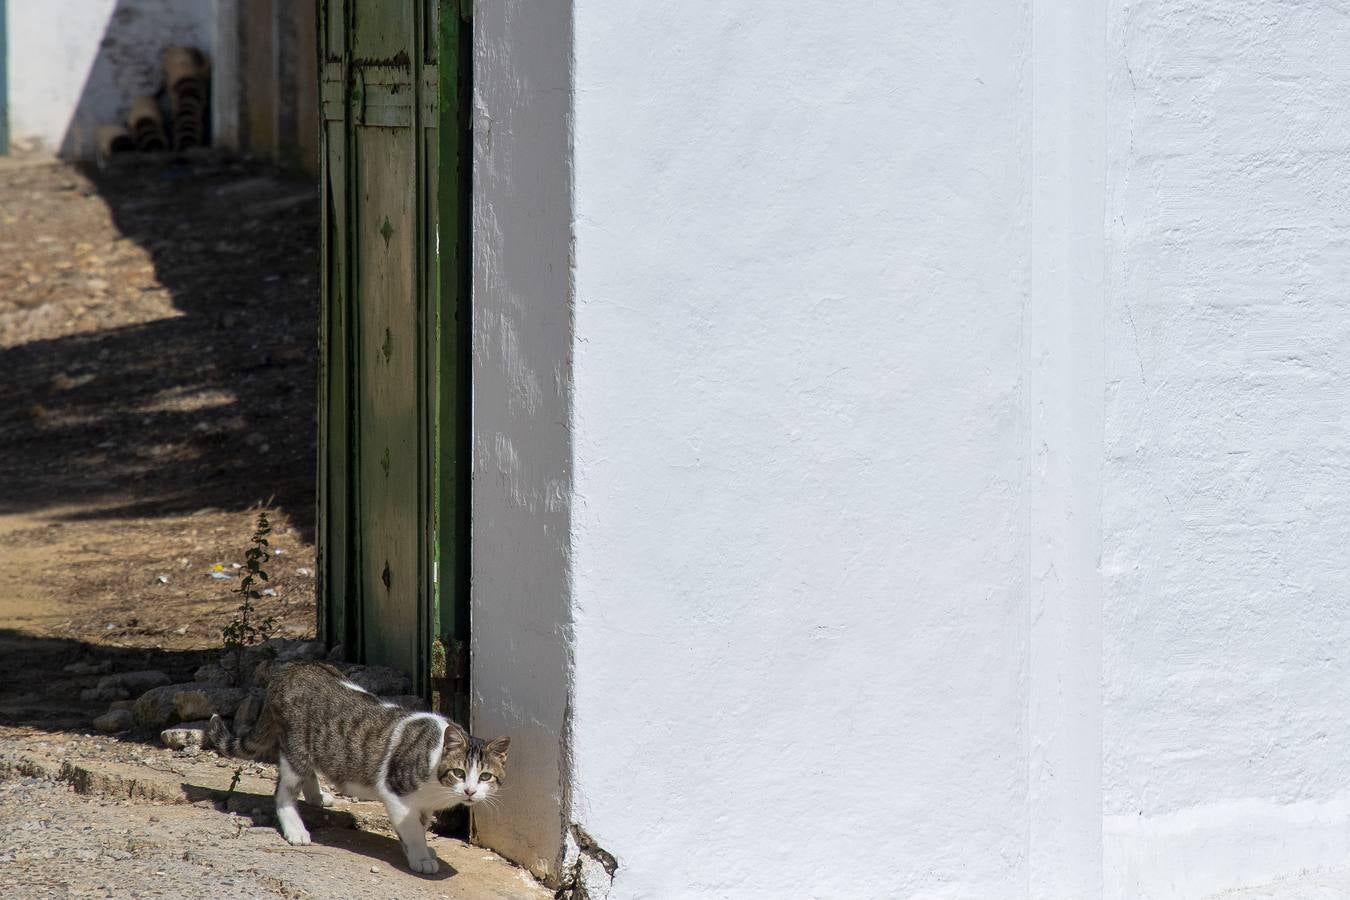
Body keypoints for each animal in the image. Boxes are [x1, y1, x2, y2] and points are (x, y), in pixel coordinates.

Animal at [207, 658, 507, 874]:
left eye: (485, 776)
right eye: (459, 772)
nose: (469, 792)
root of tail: (289, 670)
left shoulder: (423, 804)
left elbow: (420, 826)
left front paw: (422, 850)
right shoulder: (396, 794)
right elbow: (412, 830)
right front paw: (420, 857)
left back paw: (316, 797)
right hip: (296, 746)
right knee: (284, 791)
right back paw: (295, 828)